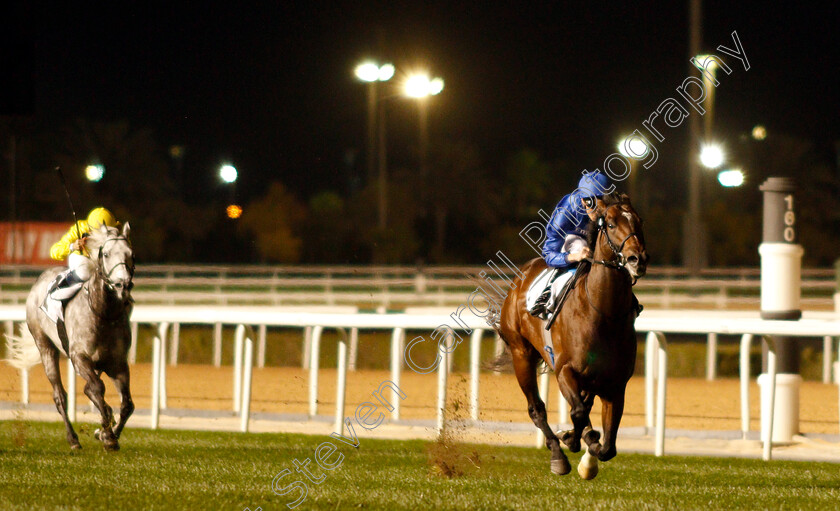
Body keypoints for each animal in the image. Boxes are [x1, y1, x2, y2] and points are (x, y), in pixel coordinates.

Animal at [9, 224, 135, 452]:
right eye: (106, 254)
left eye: (131, 254)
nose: (123, 285)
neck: (103, 313)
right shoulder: (79, 357)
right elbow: (97, 388)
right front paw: (107, 434)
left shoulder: (118, 363)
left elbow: (127, 404)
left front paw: (107, 434)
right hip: (45, 346)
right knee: (60, 395)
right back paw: (73, 439)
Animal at [496, 194, 648, 478]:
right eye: (611, 224)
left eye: (639, 220)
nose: (637, 259)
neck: (604, 312)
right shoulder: (565, 370)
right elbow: (577, 412)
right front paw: (578, 442)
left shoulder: (616, 383)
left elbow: (608, 446)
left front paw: (586, 451)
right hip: (521, 353)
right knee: (537, 409)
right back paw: (558, 455)